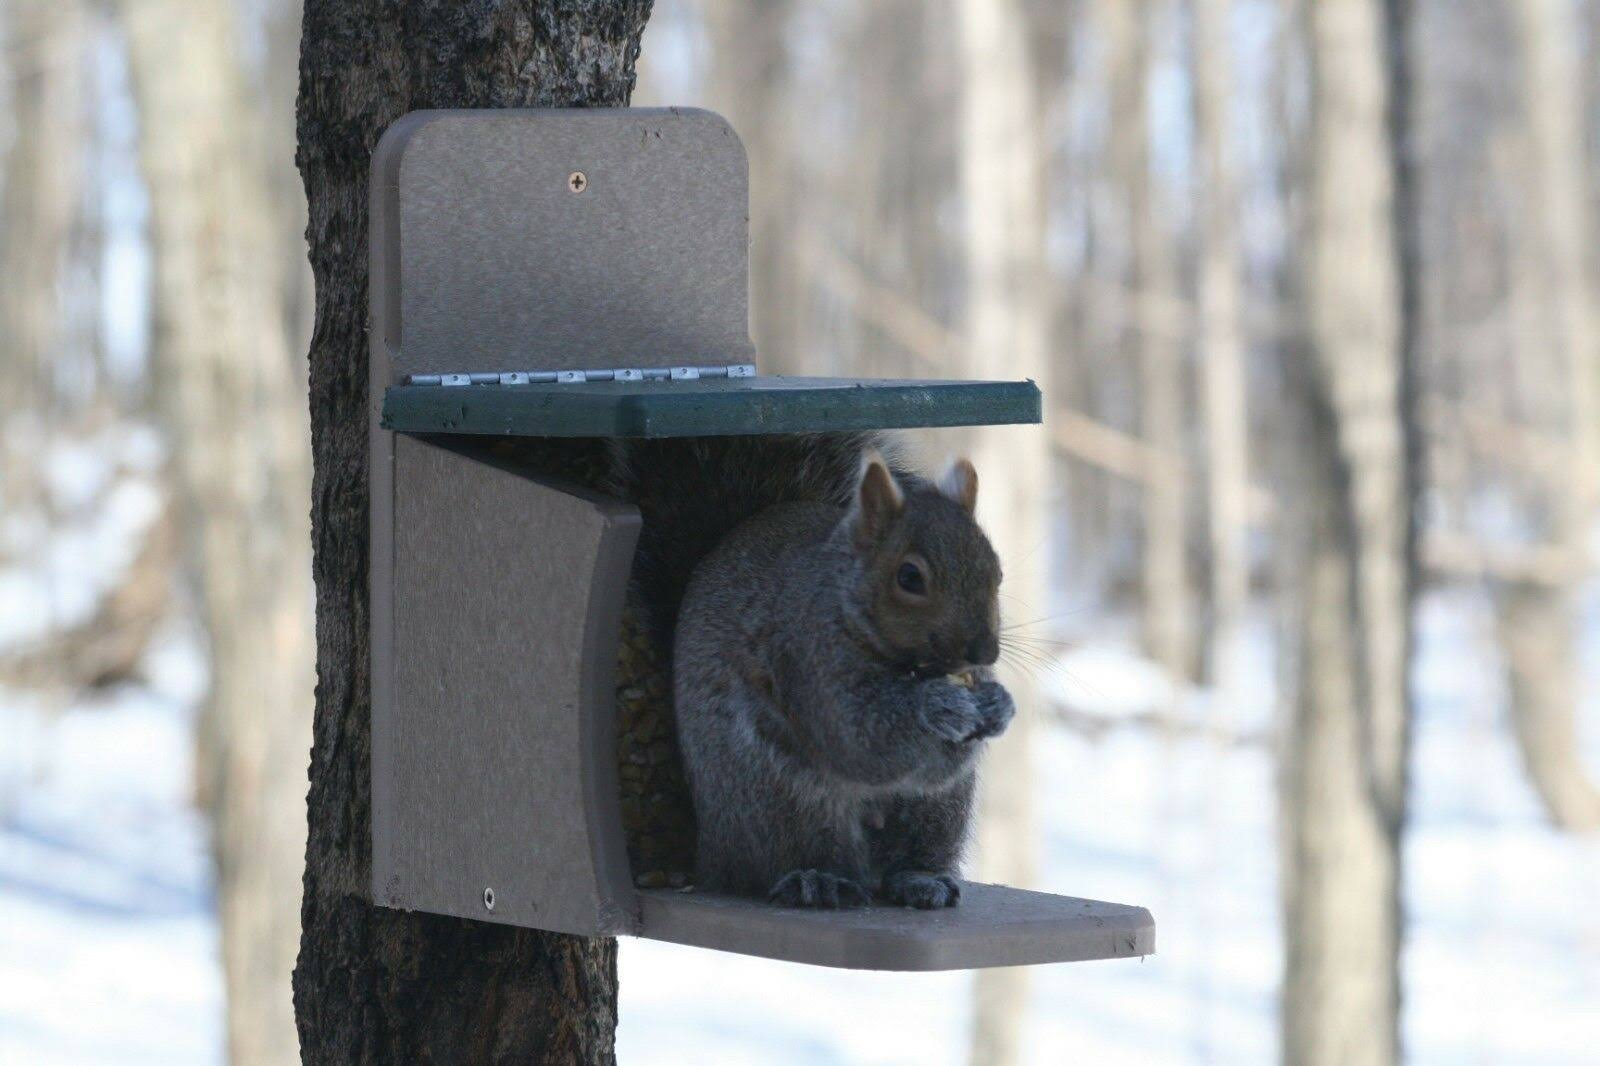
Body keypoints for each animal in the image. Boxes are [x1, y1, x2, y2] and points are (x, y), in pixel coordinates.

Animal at [671, 449, 1016, 909]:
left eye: (996, 572)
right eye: (909, 577)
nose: (984, 653)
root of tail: (711, 853)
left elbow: (937, 767)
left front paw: (999, 705)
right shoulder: (806, 655)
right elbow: (860, 739)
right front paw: (938, 705)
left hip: (938, 811)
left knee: (910, 850)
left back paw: (920, 879)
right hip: (778, 801)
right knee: (790, 856)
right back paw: (817, 879)